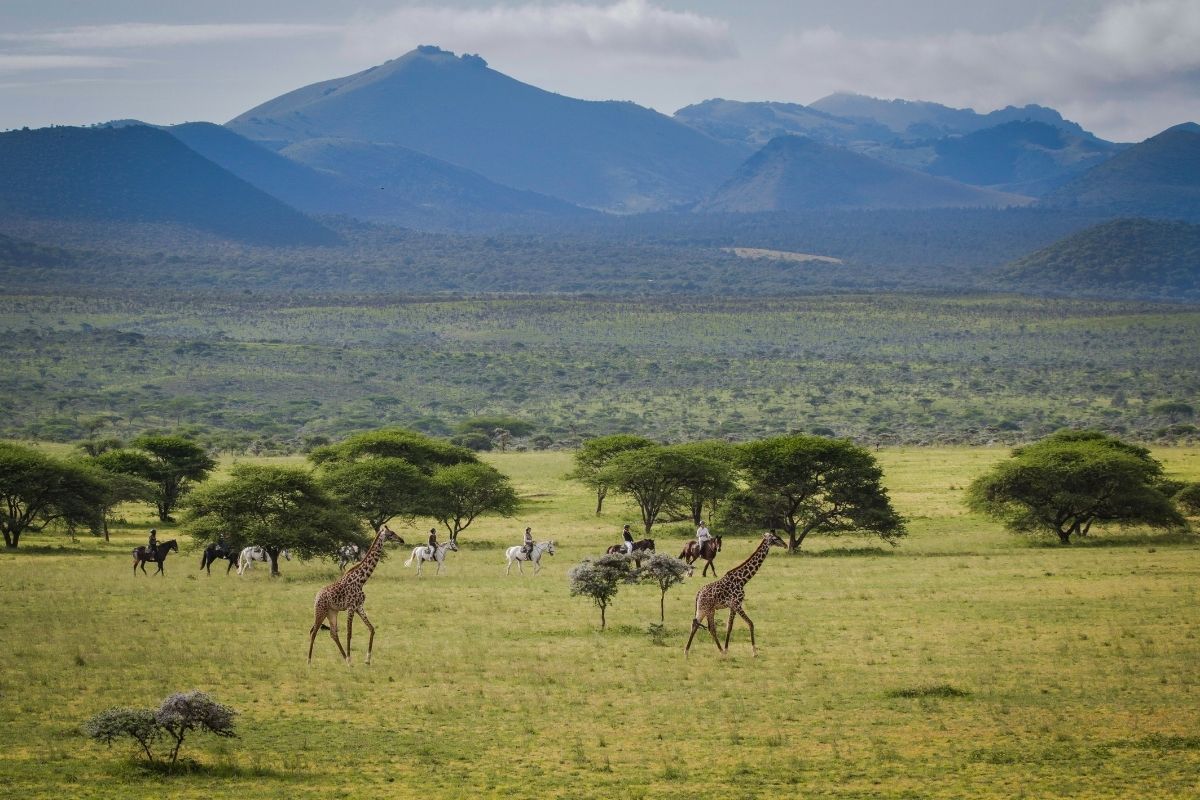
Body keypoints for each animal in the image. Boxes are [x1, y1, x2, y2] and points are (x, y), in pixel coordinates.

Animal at [307, 524, 403, 665]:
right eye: (391, 533)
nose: (402, 540)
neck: (362, 580)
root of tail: (316, 596)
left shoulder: (359, 606)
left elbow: (372, 629)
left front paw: (367, 660)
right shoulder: (351, 607)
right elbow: (349, 633)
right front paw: (351, 659)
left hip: (332, 612)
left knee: (333, 633)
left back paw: (343, 658)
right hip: (320, 610)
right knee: (313, 631)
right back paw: (309, 661)